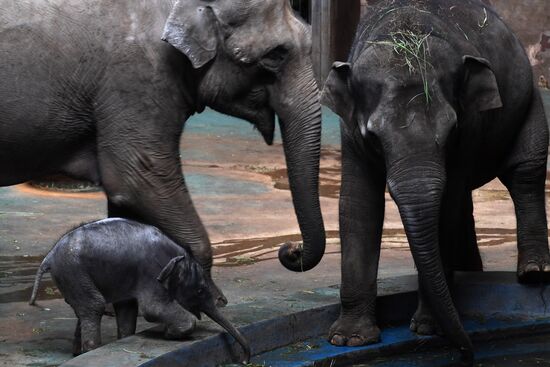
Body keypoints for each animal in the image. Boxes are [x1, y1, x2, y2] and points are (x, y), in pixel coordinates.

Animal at [31, 218, 251, 362]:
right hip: (74, 271)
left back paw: (79, 353)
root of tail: (49, 256)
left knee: (86, 309)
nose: (245, 360)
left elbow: (128, 308)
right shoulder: (151, 272)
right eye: (199, 291)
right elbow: (152, 309)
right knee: (94, 306)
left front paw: (127, 337)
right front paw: (170, 335)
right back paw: (91, 350)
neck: (178, 254)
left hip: (73, 276)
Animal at [322, 0, 548, 364]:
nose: (468, 353)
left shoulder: (471, 124)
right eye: (373, 135)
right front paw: (349, 340)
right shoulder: (349, 131)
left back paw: (534, 272)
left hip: (529, 100)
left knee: (525, 172)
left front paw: (429, 329)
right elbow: (359, 205)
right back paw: (470, 270)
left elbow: (447, 204)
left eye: (451, 129)